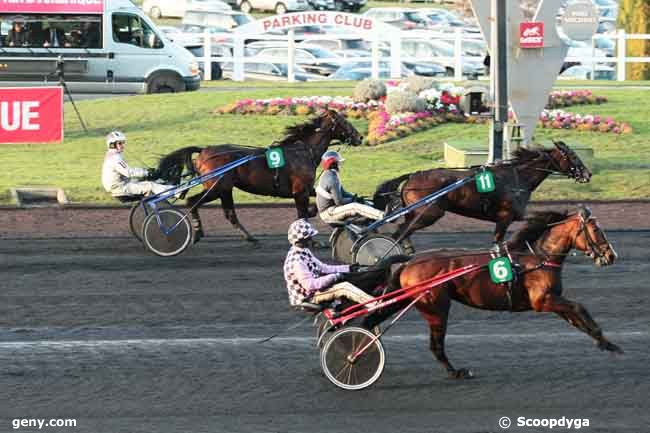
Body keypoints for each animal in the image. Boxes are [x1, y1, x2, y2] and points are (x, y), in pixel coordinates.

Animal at [155, 109, 362, 240]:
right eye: (344, 121)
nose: (360, 137)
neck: (303, 152)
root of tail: (205, 151)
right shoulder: (299, 191)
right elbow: (302, 214)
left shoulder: (306, 189)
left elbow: (313, 205)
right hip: (217, 187)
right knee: (194, 203)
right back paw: (200, 232)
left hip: (224, 189)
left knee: (228, 213)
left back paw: (248, 237)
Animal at [372, 140, 588, 245]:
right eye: (573, 156)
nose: (587, 174)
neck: (517, 177)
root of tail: (412, 177)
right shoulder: (506, 216)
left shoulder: (512, 216)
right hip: (429, 213)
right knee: (400, 233)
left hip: (416, 212)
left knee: (402, 231)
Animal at [384, 206, 616, 378]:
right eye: (596, 230)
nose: (611, 255)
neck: (538, 258)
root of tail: (409, 262)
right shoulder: (542, 301)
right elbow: (579, 307)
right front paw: (604, 340)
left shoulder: (552, 300)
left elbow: (575, 317)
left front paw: (605, 342)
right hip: (436, 308)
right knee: (436, 345)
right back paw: (456, 372)